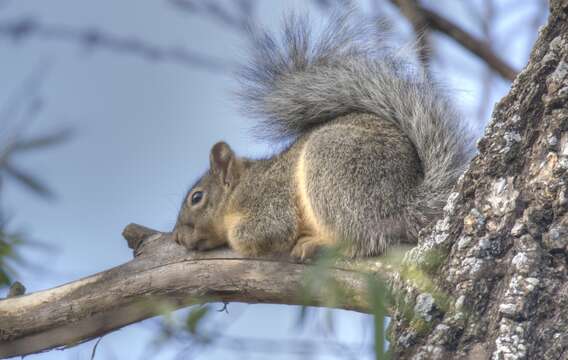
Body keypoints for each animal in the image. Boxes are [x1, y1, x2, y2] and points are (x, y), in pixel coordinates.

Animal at [173, 11, 474, 258]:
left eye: (196, 198)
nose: (177, 238)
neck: (240, 188)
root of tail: (403, 205)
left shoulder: (268, 201)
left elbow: (267, 231)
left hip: (332, 167)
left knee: (361, 239)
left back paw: (317, 242)